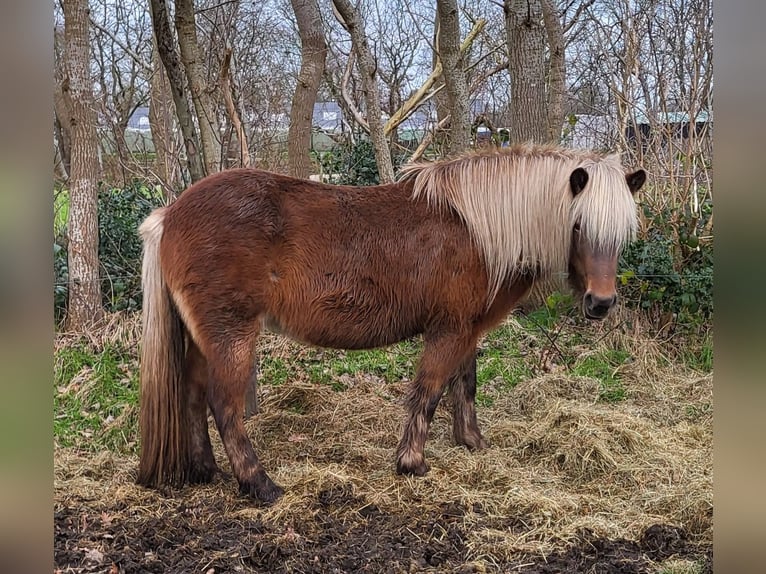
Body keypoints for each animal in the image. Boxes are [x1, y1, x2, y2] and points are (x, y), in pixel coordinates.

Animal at [138, 143, 648, 504]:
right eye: (578, 224)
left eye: (622, 231)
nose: (601, 303)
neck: (480, 230)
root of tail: (170, 213)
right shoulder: (449, 330)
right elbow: (430, 391)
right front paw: (412, 463)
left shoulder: (467, 329)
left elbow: (465, 384)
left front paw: (471, 442)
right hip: (232, 335)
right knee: (224, 407)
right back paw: (259, 484)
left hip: (202, 340)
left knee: (192, 396)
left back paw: (207, 472)